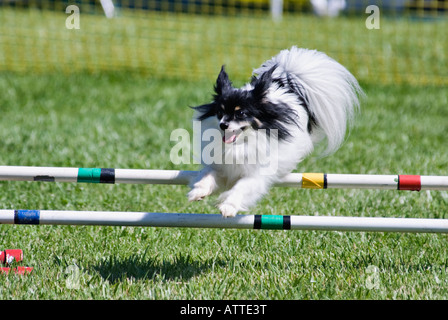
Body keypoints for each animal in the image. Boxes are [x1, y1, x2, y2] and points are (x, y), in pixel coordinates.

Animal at [187, 46, 362, 218]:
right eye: (220, 112)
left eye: (241, 113)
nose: (223, 125)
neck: (241, 143)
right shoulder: (223, 168)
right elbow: (208, 174)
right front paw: (198, 191)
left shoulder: (256, 175)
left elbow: (241, 188)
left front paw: (228, 207)